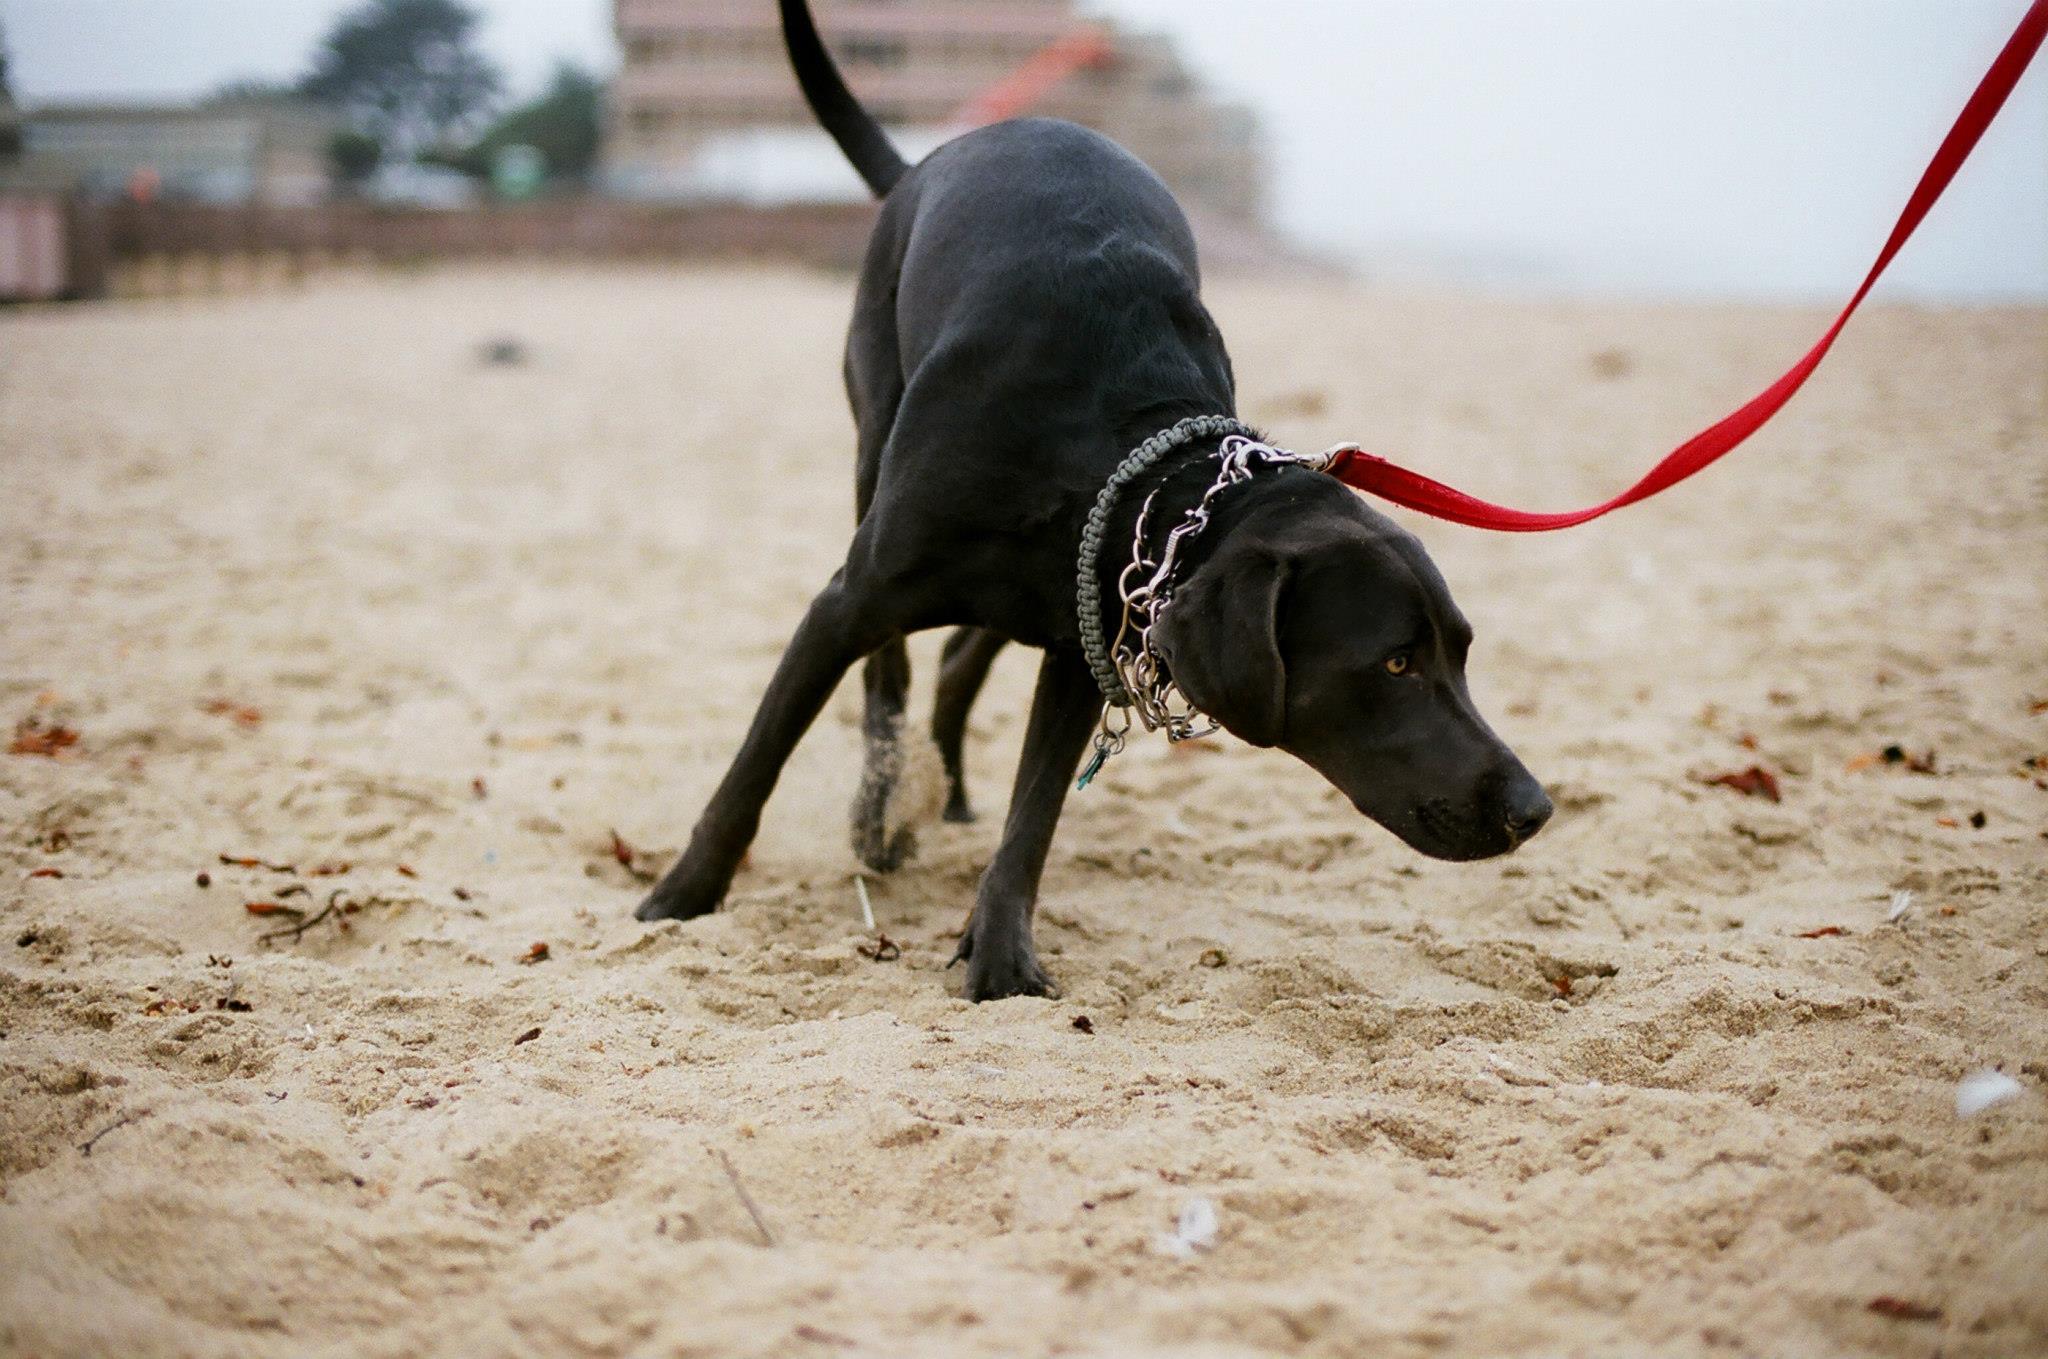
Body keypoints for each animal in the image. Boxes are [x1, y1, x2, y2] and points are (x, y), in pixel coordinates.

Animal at [638, 0, 1548, 998]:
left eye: (1461, 653)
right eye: (1394, 662)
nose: (1535, 808)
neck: (1127, 458)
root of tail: (929, 161)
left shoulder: (1088, 631)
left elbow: (1031, 821)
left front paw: (999, 958)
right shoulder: (845, 604)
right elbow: (752, 769)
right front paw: (683, 894)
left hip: (1035, 586)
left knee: (958, 657)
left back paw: (947, 791)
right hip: (874, 440)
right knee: (892, 669)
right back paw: (882, 814)